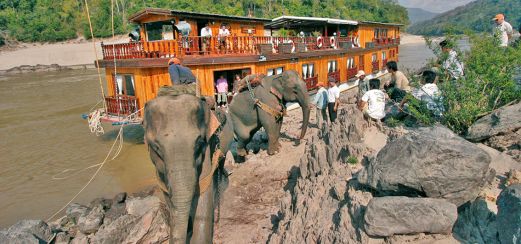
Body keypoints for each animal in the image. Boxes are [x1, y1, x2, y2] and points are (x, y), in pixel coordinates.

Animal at [141, 94, 233, 243]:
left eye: (199, 143)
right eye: (156, 147)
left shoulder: (207, 148)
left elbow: (203, 193)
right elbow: (167, 195)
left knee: (220, 163)